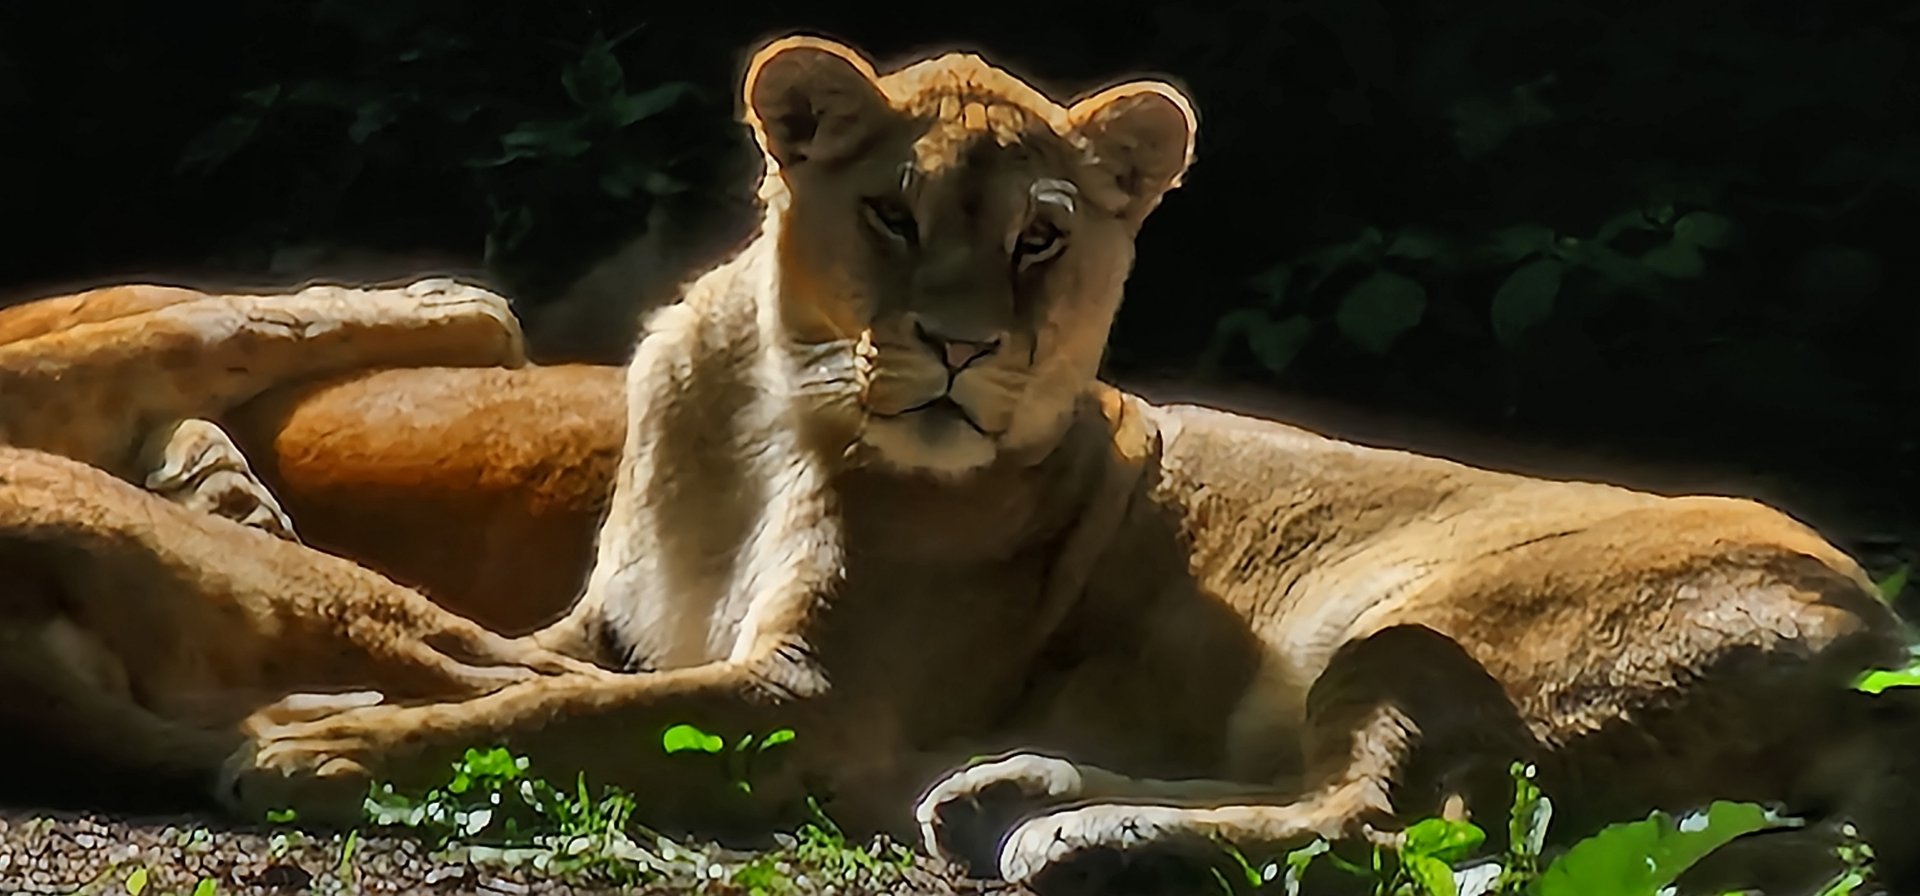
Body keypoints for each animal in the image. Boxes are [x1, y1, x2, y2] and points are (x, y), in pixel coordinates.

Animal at [2, 33, 1916, 893]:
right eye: (896, 213)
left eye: (1040, 243)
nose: (960, 348)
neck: (763, 417)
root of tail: (1882, 652)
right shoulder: (613, 622)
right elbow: (536, 668)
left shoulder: (805, 698)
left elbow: (552, 717)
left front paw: (321, 748)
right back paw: (1006, 797)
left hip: (1433, 632)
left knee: (1408, 824)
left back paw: (1073, 830)